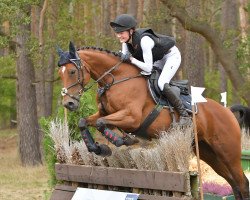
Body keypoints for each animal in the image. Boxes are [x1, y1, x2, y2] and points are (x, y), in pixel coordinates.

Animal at [57, 41, 249, 199]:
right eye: (60, 73)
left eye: (72, 71)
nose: (68, 103)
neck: (117, 79)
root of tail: (227, 112)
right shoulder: (103, 113)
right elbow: (85, 122)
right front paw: (97, 148)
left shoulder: (132, 118)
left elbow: (101, 123)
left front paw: (122, 141)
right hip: (208, 152)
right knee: (233, 182)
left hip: (228, 151)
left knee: (242, 183)